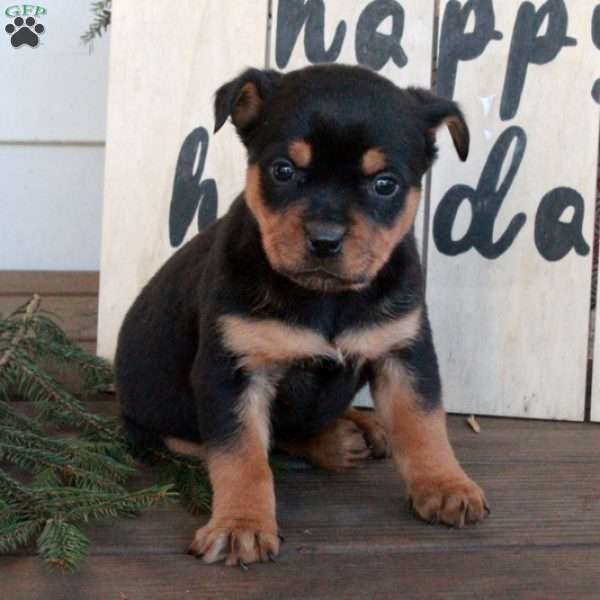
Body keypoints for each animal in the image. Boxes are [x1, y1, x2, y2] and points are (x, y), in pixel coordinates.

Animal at [116, 63, 488, 568]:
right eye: (283, 170)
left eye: (385, 183)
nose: (325, 239)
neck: (326, 297)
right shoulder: (231, 372)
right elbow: (243, 457)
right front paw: (241, 525)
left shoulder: (403, 352)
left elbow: (423, 423)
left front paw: (446, 485)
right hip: (163, 426)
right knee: (265, 441)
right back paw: (336, 441)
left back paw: (360, 424)